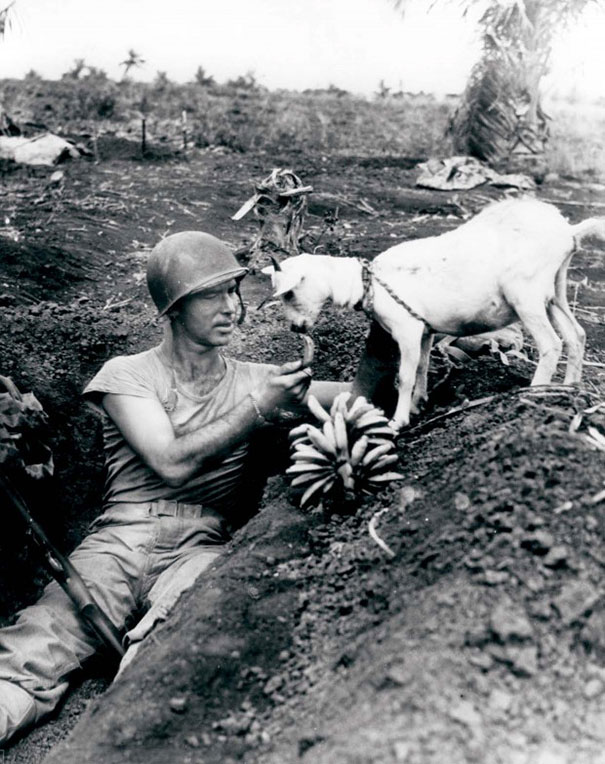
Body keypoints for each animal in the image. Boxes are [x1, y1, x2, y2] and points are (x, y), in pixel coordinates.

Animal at [260, 197, 604, 430]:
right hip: (554, 291)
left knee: (551, 343)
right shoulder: (425, 331)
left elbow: (404, 375)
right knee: (576, 335)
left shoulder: (407, 329)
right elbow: (422, 368)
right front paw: (418, 405)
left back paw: (534, 393)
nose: (295, 328)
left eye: (289, 292)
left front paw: (398, 420)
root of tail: (568, 231)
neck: (367, 282)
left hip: (527, 295)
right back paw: (567, 389)